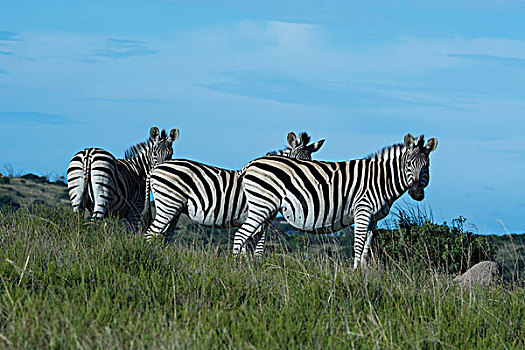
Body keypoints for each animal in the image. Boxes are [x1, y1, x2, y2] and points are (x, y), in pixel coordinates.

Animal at [143, 131, 324, 243]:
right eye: (296, 162)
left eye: (311, 161)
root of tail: (156, 168)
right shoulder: (260, 218)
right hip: (168, 204)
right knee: (151, 234)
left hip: (174, 209)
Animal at [231, 132, 436, 268]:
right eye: (408, 164)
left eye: (426, 166)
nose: (417, 193)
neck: (380, 179)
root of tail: (250, 164)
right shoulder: (362, 211)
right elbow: (358, 245)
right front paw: (355, 274)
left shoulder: (373, 218)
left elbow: (366, 248)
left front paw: (364, 274)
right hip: (262, 206)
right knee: (240, 236)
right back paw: (236, 269)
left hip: (266, 209)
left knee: (252, 238)